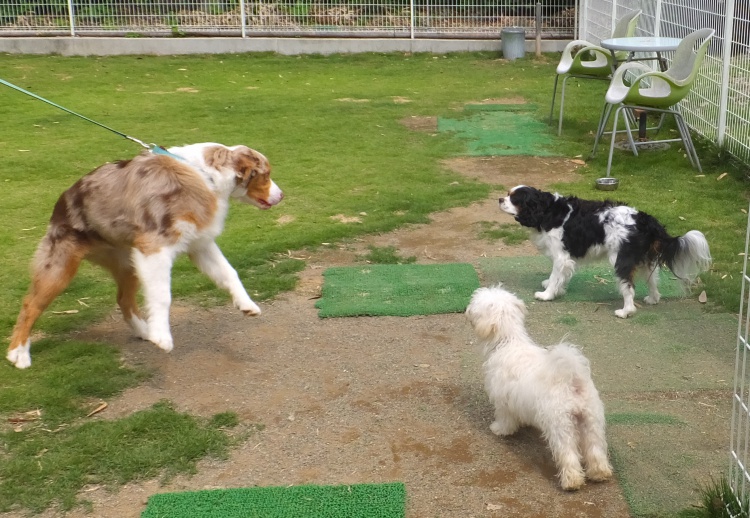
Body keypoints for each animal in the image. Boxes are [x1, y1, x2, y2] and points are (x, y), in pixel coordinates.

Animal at [7, 143, 283, 369]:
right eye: (267, 174)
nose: (282, 196)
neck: (206, 175)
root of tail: (61, 201)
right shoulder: (155, 248)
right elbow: (162, 296)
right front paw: (162, 336)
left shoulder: (199, 244)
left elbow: (229, 273)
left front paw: (247, 304)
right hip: (61, 266)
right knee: (30, 304)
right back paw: (18, 353)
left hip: (128, 263)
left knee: (123, 299)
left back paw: (144, 330)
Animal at [465, 284, 613, 490]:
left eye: (475, 304)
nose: (466, 310)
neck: (508, 341)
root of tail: (572, 380)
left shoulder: (503, 401)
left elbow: (505, 419)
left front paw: (500, 429)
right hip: (592, 422)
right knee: (595, 450)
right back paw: (600, 473)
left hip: (561, 425)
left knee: (568, 454)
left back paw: (571, 482)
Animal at [499, 185, 711, 318]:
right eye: (507, 194)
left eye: (514, 199)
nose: (500, 199)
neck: (547, 210)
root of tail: (646, 220)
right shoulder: (567, 259)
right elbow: (561, 277)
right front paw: (558, 288)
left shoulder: (561, 257)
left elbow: (555, 277)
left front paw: (547, 294)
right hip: (645, 260)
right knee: (652, 280)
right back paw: (653, 299)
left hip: (621, 261)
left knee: (629, 288)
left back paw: (626, 312)